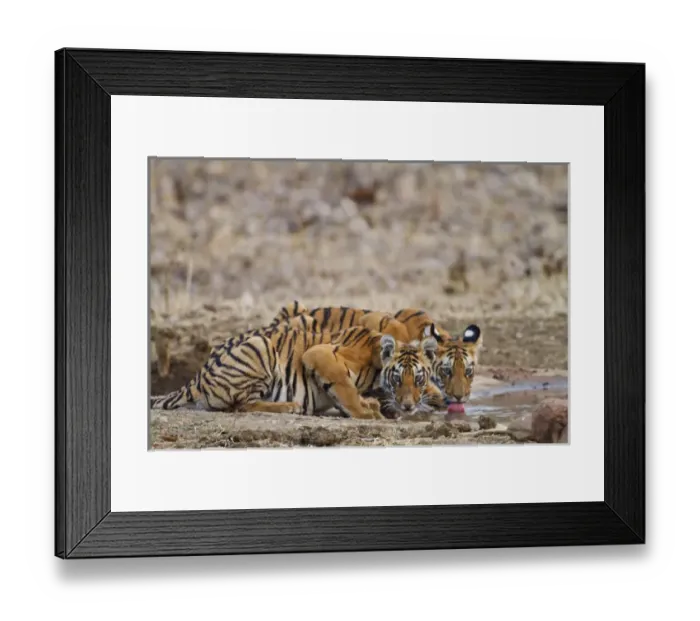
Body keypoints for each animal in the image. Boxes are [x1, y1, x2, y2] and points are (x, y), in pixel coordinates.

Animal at [150, 324, 440, 420]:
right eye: (398, 377)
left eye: (419, 378)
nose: (409, 406)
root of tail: (197, 376)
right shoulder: (320, 354)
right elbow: (346, 389)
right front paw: (366, 413)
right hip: (260, 346)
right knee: (242, 405)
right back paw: (290, 407)